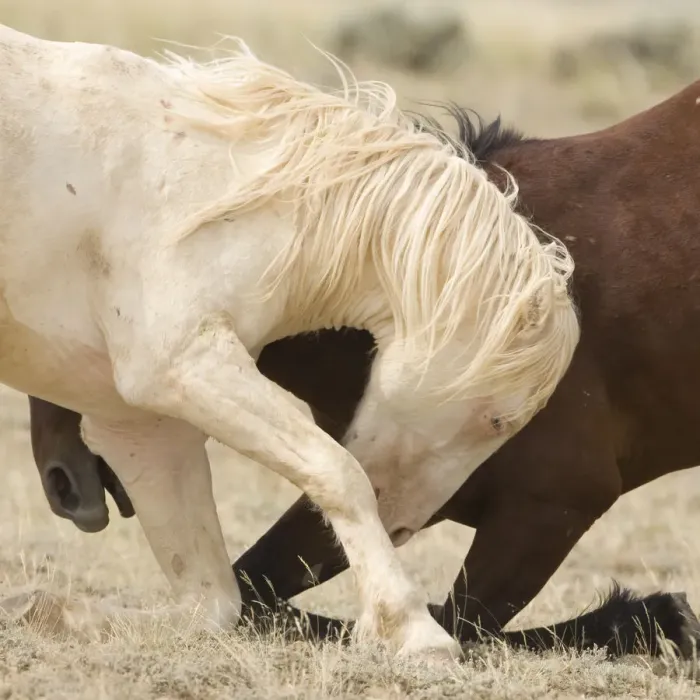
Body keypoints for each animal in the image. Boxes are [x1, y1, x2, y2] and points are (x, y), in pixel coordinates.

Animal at [0, 25, 578, 659]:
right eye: (496, 422)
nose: (402, 526)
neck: (229, 192)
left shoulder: (141, 424)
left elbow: (211, 603)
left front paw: (50, 612)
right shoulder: (183, 365)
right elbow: (337, 471)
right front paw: (410, 629)